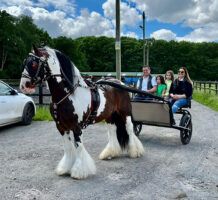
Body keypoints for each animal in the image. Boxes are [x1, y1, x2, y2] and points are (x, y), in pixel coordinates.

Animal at [19, 46, 144, 179]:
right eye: (25, 62)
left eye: (33, 64)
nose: (23, 86)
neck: (67, 94)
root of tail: (120, 83)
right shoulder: (61, 127)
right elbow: (68, 147)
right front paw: (65, 168)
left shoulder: (76, 127)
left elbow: (78, 147)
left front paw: (79, 171)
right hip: (110, 116)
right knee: (112, 131)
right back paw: (110, 153)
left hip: (125, 114)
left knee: (130, 130)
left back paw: (135, 152)